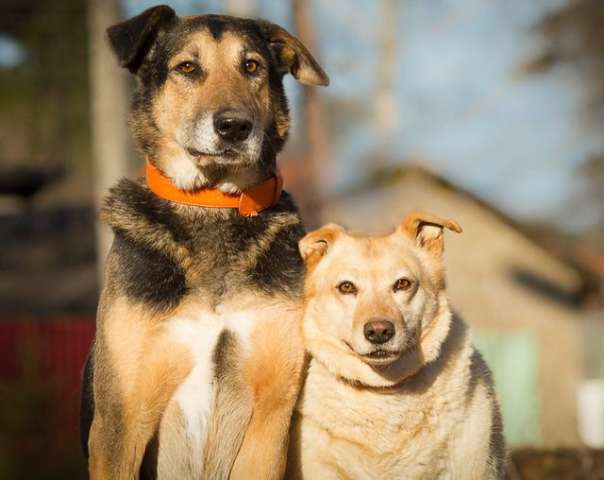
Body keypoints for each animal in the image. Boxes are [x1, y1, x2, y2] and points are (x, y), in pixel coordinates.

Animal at [80, 4, 328, 480]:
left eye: (251, 66)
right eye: (187, 68)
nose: (234, 127)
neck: (212, 203)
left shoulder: (270, 416)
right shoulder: (119, 421)